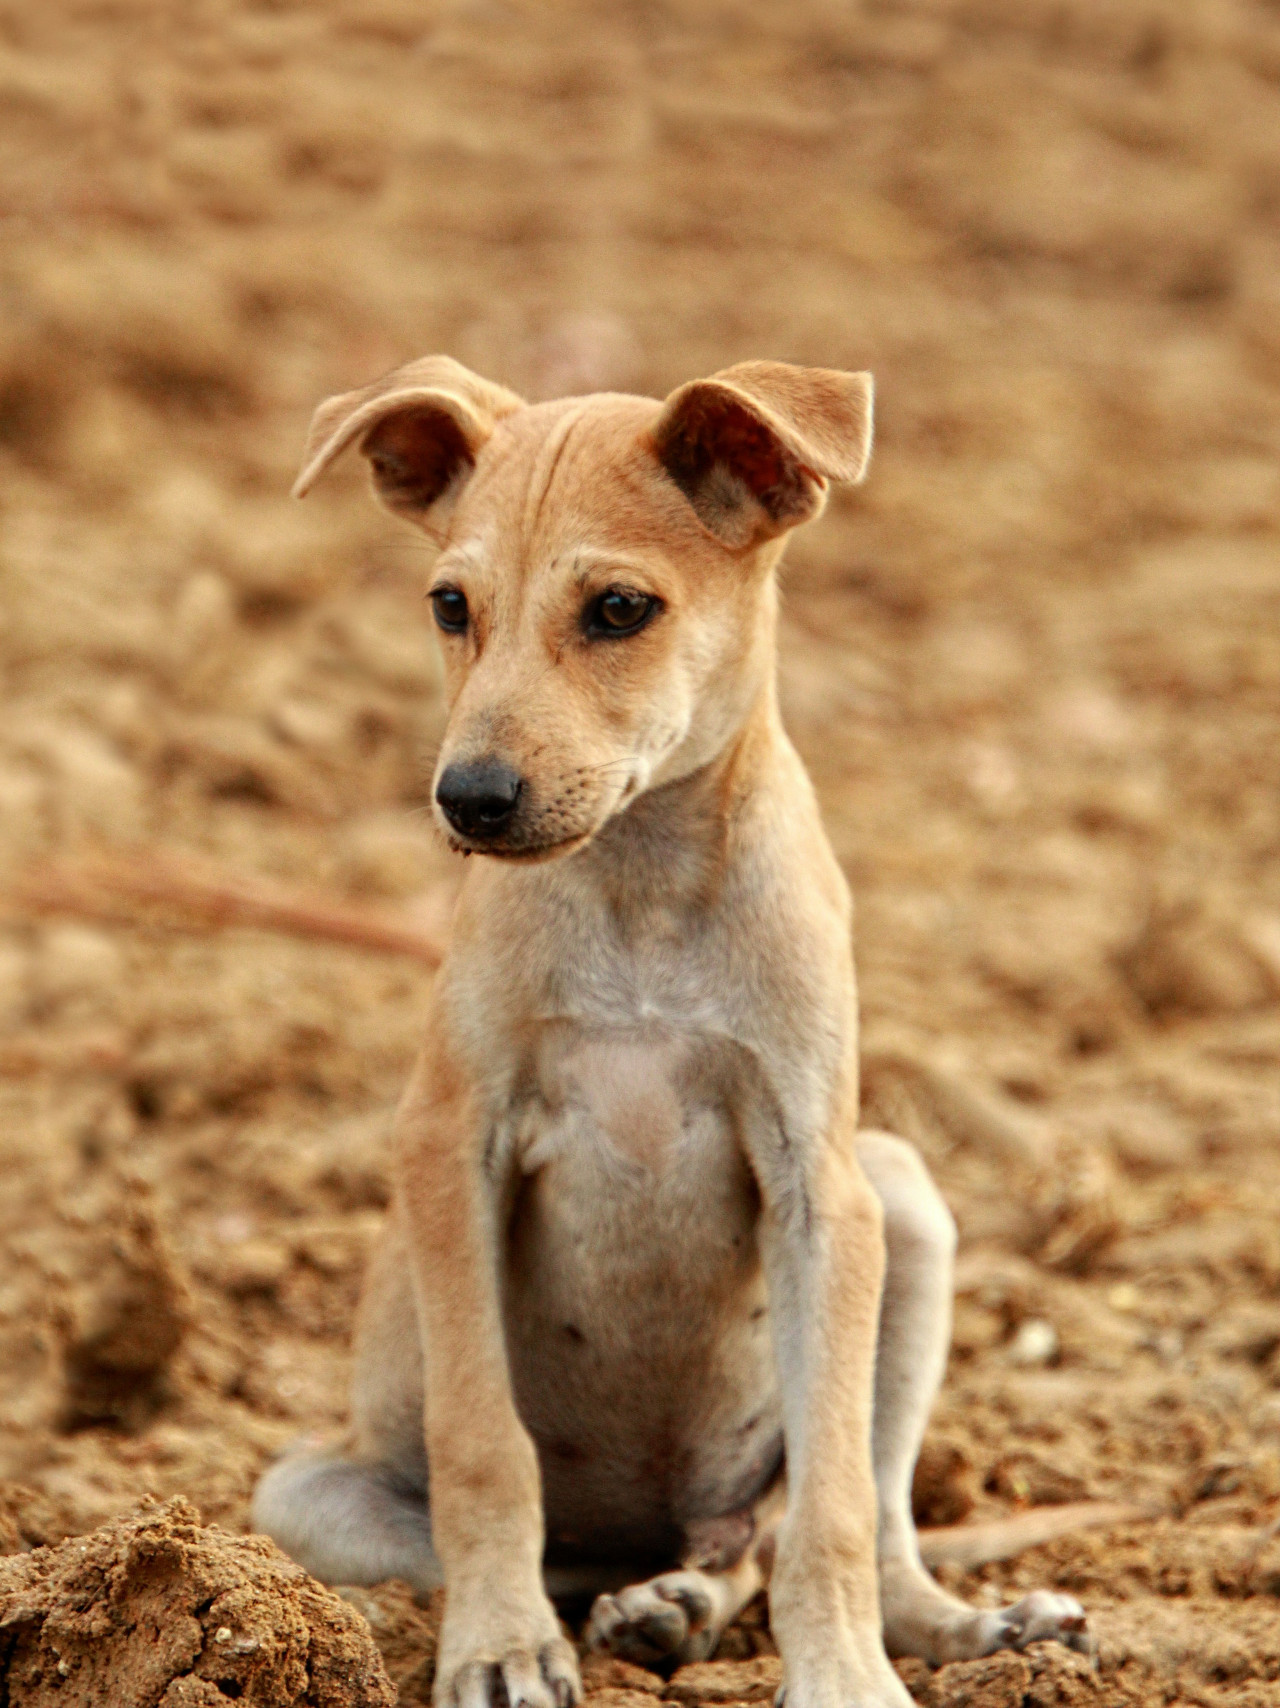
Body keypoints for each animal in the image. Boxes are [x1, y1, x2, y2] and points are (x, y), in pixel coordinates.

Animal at [252, 360, 1086, 1708]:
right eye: (449, 605)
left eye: (618, 609)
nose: (468, 800)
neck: (638, 888)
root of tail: (648, 1525)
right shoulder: (452, 1148)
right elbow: (486, 1447)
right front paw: (497, 1646)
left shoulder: (820, 1188)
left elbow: (833, 1505)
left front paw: (842, 1674)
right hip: (308, 1491)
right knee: (589, 1552)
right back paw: (627, 1606)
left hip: (903, 1199)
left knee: (836, 1522)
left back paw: (921, 1620)